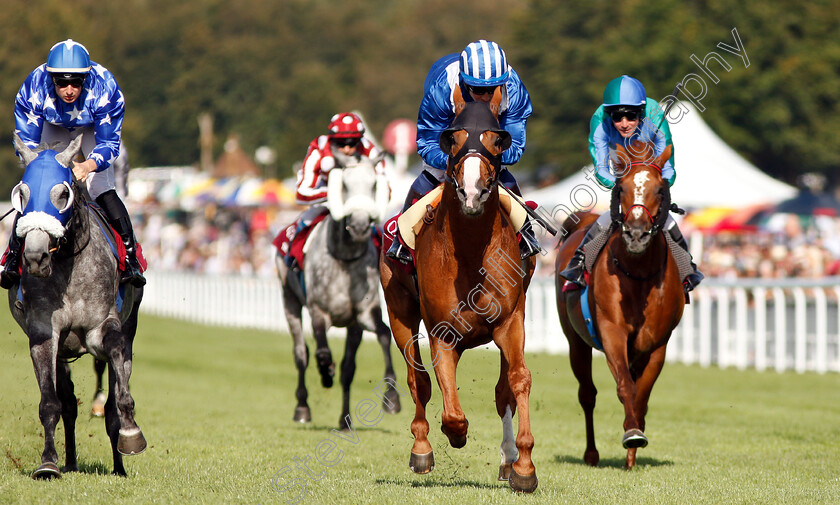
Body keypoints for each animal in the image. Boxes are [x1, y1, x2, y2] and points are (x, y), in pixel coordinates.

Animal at [8, 133, 145, 476]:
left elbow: (117, 391)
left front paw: (130, 432)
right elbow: (51, 402)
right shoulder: (44, 334)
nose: (35, 256)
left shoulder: (102, 328)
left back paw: (119, 466)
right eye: (22, 195)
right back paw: (69, 461)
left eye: (62, 194)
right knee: (68, 403)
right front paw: (48, 463)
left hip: (131, 322)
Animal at [278, 152, 402, 428]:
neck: (345, 258)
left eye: (374, 185)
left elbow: (384, 335)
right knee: (301, 353)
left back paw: (345, 420)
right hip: (289, 299)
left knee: (348, 368)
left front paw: (391, 397)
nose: (359, 226)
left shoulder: (364, 312)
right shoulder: (319, 310)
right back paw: (302, 407)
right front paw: (326, 373)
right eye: (344, 184)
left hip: (352, 325)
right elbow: (322, 353)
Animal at [380, 86, 540, 492]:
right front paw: (455, 434)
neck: (470, 253)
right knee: (417, 380)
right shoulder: (442, 332)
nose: (472, 192)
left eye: (498, 140)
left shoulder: (511, 322)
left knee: (502, 391)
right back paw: (421, 449)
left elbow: (517, 381)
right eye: (452, 138)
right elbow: (448, 406)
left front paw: (523, 466)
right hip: (399, 311)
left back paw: (507, 459)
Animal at [556, 139, 684, 468]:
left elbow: (642, 395)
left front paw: (633, 445)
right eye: (622, 187)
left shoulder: (656, 343)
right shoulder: (612, 332)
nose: (636, 234)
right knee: (587, 394)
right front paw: (632, 434)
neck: (638, 274)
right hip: (575, 341)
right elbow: (625, 386)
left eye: (660, 190)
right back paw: (591, 453)